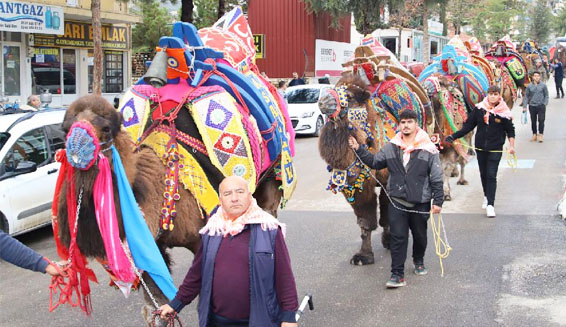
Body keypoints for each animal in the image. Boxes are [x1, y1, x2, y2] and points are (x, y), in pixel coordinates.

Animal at [51, 7, 298, 326]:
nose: (76, 151)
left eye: (106, 127)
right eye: (64, 127)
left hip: (273, 174)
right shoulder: (150, 247)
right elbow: (157, 308)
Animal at [318, 37, 432, 266]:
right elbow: (365, 221)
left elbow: (388, 212)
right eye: (334, 88)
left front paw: (390, 240)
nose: (324, 101)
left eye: (348, 96)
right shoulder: (355, 184)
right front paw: (363, 255)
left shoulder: (389, 177)